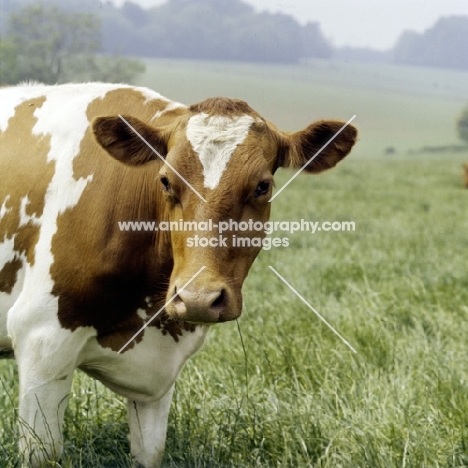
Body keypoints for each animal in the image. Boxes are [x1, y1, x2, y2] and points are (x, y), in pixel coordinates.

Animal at [0, 82, 356, 466]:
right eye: (166, 181)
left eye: (262, 186)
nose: (198, 298)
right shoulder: (42, 340)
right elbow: (43, 452)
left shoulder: (158, 372)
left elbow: (150, 452)